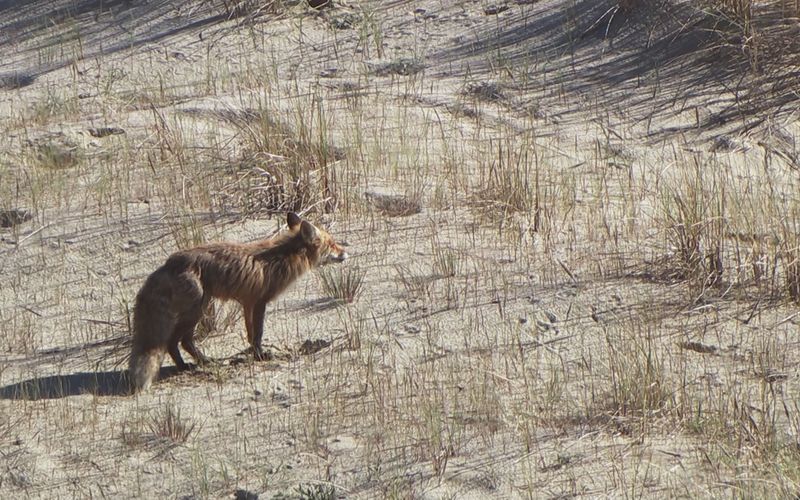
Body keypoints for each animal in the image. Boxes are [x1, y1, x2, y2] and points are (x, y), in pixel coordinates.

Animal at [128, 213, 346, 392]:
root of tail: (168, 264)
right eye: (333, 244)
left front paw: (253, 354)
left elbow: (250, 334)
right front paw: (261, 356)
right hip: (198, 310)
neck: (282, 256)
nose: (346, 251)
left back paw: (192, 364)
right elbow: (257, 334)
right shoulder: (259, 301)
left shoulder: (247, 302)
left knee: (177, 342)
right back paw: (197, 364)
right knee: (178, 341)